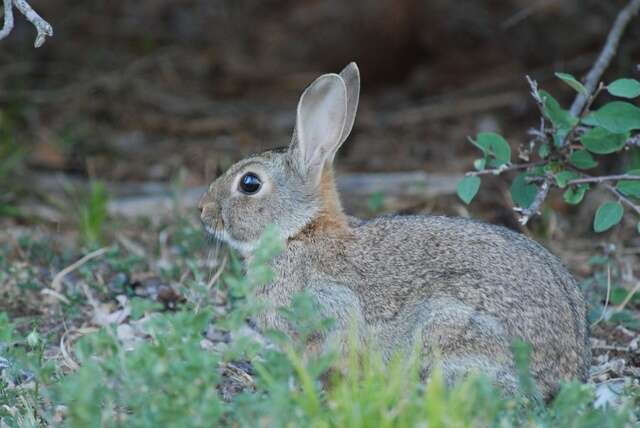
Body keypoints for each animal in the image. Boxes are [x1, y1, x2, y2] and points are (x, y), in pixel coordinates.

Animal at [199, 61, 592, 400]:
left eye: (249, 183)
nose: (203, 212)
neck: (299, 232)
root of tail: (565, 373)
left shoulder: (330, 307)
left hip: (449, 328)